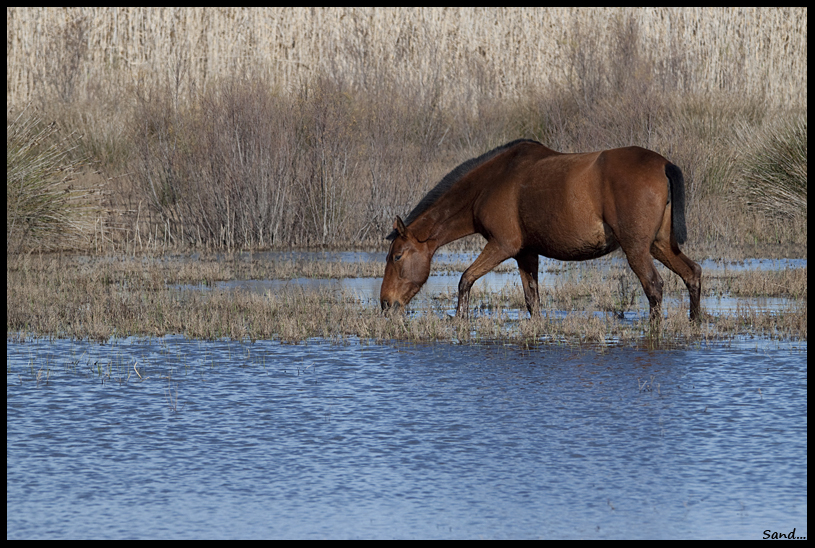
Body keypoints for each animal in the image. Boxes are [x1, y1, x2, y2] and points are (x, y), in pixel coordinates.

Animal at [380, 139, 704, 324]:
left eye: (397, 256)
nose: (385, 304)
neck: (493, 181)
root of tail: (663, 164)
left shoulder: (502, 245)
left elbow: (465, 280)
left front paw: (459, 321)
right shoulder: (526, 253)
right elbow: (531, 299)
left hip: (636, 249)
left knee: (654, 286)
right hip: (660, 245)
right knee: (692, 273)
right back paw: (695, 321)